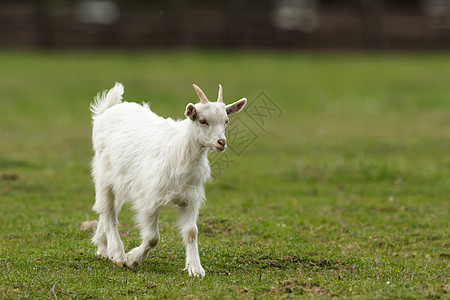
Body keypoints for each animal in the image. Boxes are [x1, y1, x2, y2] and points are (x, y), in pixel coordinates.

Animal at [90, 82, 248, 276]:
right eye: (202, 120)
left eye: (226, 121)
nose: (221, 142)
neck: (180, 151)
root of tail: (108, 109)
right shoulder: (149, 197)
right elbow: (152, 237)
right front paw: (133, 259)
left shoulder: (190, 198)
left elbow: (191, 232)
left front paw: (196, 268)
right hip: (104, 175)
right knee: (109, 212)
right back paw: (118, 254)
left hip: (121, 180)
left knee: (107, 209)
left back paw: (103, 247)